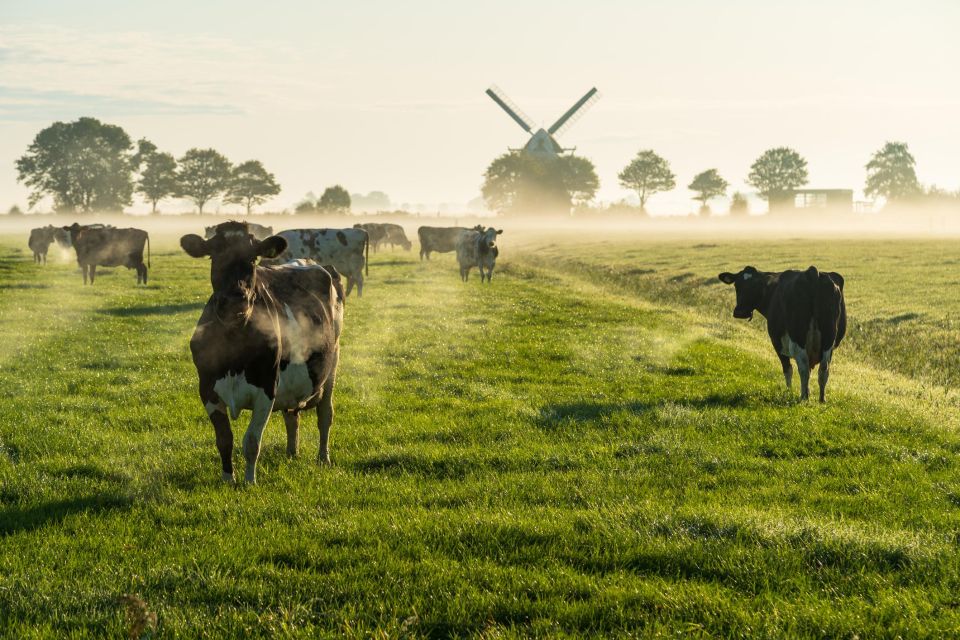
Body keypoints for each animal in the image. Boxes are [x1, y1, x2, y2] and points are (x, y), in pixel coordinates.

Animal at [180, 221, 344, 484]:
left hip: (333, 362)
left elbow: (251, 442)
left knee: (325, 414)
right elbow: (224, 440)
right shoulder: (206, 389)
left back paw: (323, 458)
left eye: (253, 258)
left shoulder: (267, 388)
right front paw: (228, 479)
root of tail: (310, 261)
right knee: (292, 415)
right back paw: (291, 453)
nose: (236, 299)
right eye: (214, 255)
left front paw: (249, 482)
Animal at [716, 264, 844, 400]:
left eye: (756, 285)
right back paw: (821, 399)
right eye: (737, 285)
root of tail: (812, 272)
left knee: (803, 367)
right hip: (829, 338)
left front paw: (789, 393)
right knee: (823, 369)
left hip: (797, 336)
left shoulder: (777, 342)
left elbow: (787, 369)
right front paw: (806, 392)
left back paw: (803, 397)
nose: (740, 312)